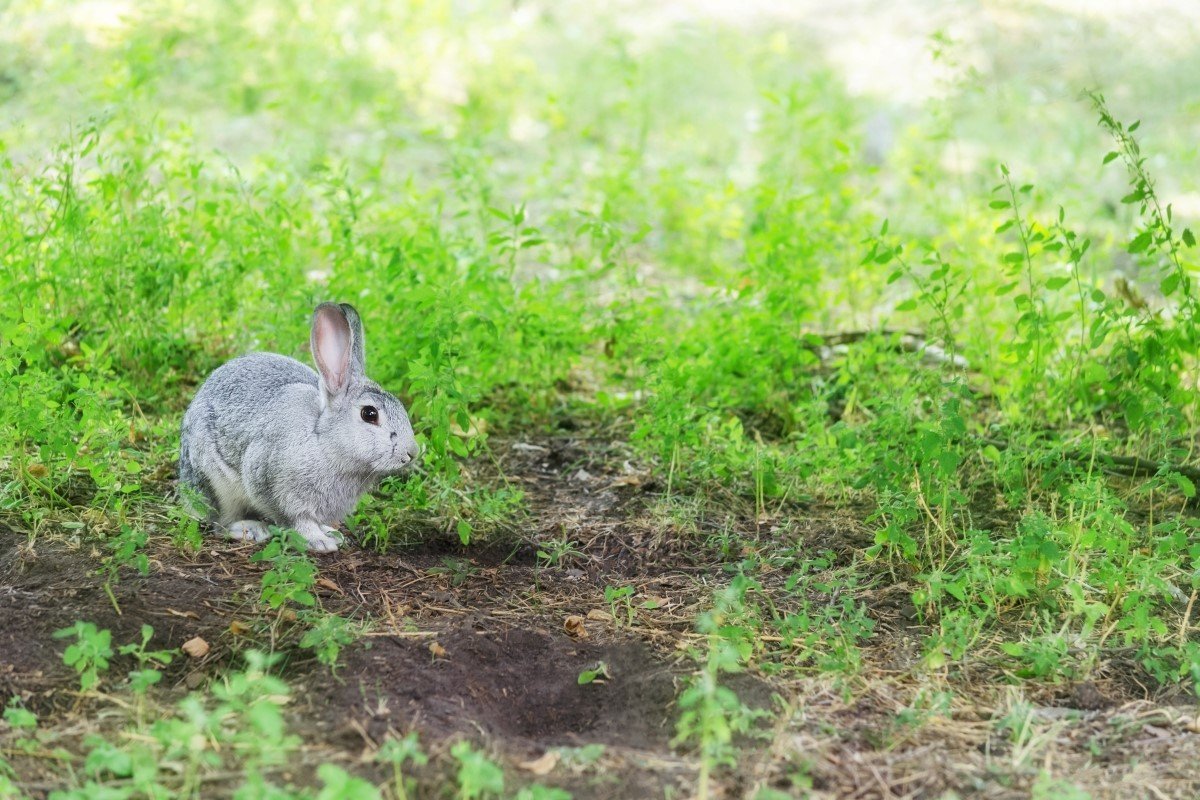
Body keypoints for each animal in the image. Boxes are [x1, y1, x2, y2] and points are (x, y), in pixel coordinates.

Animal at [178, 302, 419, 552]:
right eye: (369, 414)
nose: (412, 453)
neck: (324, 442)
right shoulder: (273, 486)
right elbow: (297, 521)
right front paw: (319, 541)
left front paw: (330, 534)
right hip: (217, 485)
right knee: (219, 523)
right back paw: (251, 530)